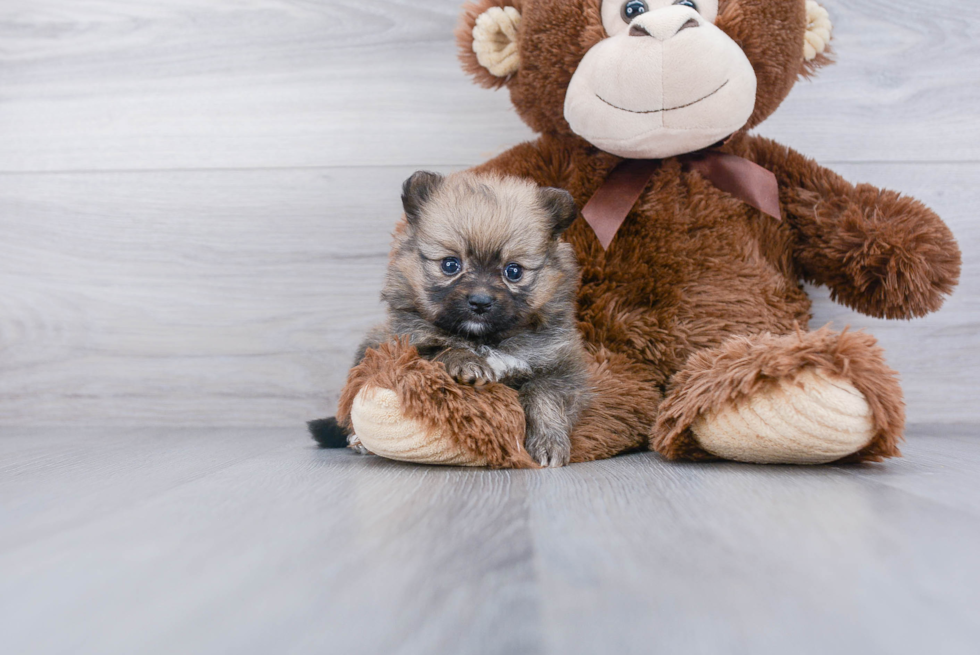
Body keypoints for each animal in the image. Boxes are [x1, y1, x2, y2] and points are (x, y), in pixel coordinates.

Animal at [314, 169, 588, 466]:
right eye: (450, 264)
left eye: (513, 271)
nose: (480, 301)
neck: (484, 339)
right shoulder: (408, 348)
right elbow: (443, 348)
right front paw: (466, 362)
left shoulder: (559, 366)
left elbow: (543, 396)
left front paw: (548, 442)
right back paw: (356, 439)